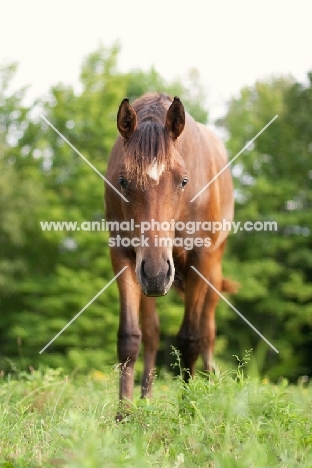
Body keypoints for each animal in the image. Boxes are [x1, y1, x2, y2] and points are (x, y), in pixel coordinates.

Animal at [105, 93, 236, 418]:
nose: (155, 273)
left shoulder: (201, 260)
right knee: (151, 333)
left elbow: (190, 338)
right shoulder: (123, 256)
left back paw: (211, 387)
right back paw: (145, 398)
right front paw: (123, 414)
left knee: (207, 330)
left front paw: (188, 410)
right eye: (123, 181)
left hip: (212, 269)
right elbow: (130, 338)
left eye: (183, 181)